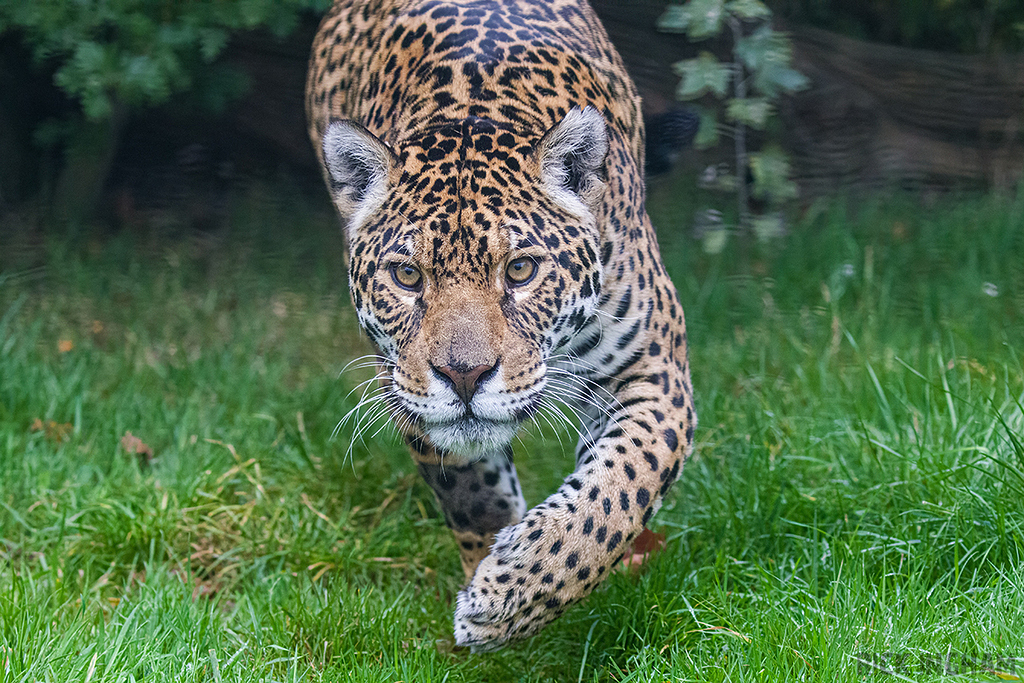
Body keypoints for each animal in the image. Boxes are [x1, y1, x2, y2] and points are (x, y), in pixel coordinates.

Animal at [305, 0, 696, 651]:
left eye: (520, 269)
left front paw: (509, 597)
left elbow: (615, 493)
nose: (464, 376)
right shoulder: (403, 385)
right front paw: (494, 588)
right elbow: (471, 494)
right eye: (407, 276)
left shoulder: (655, 372)